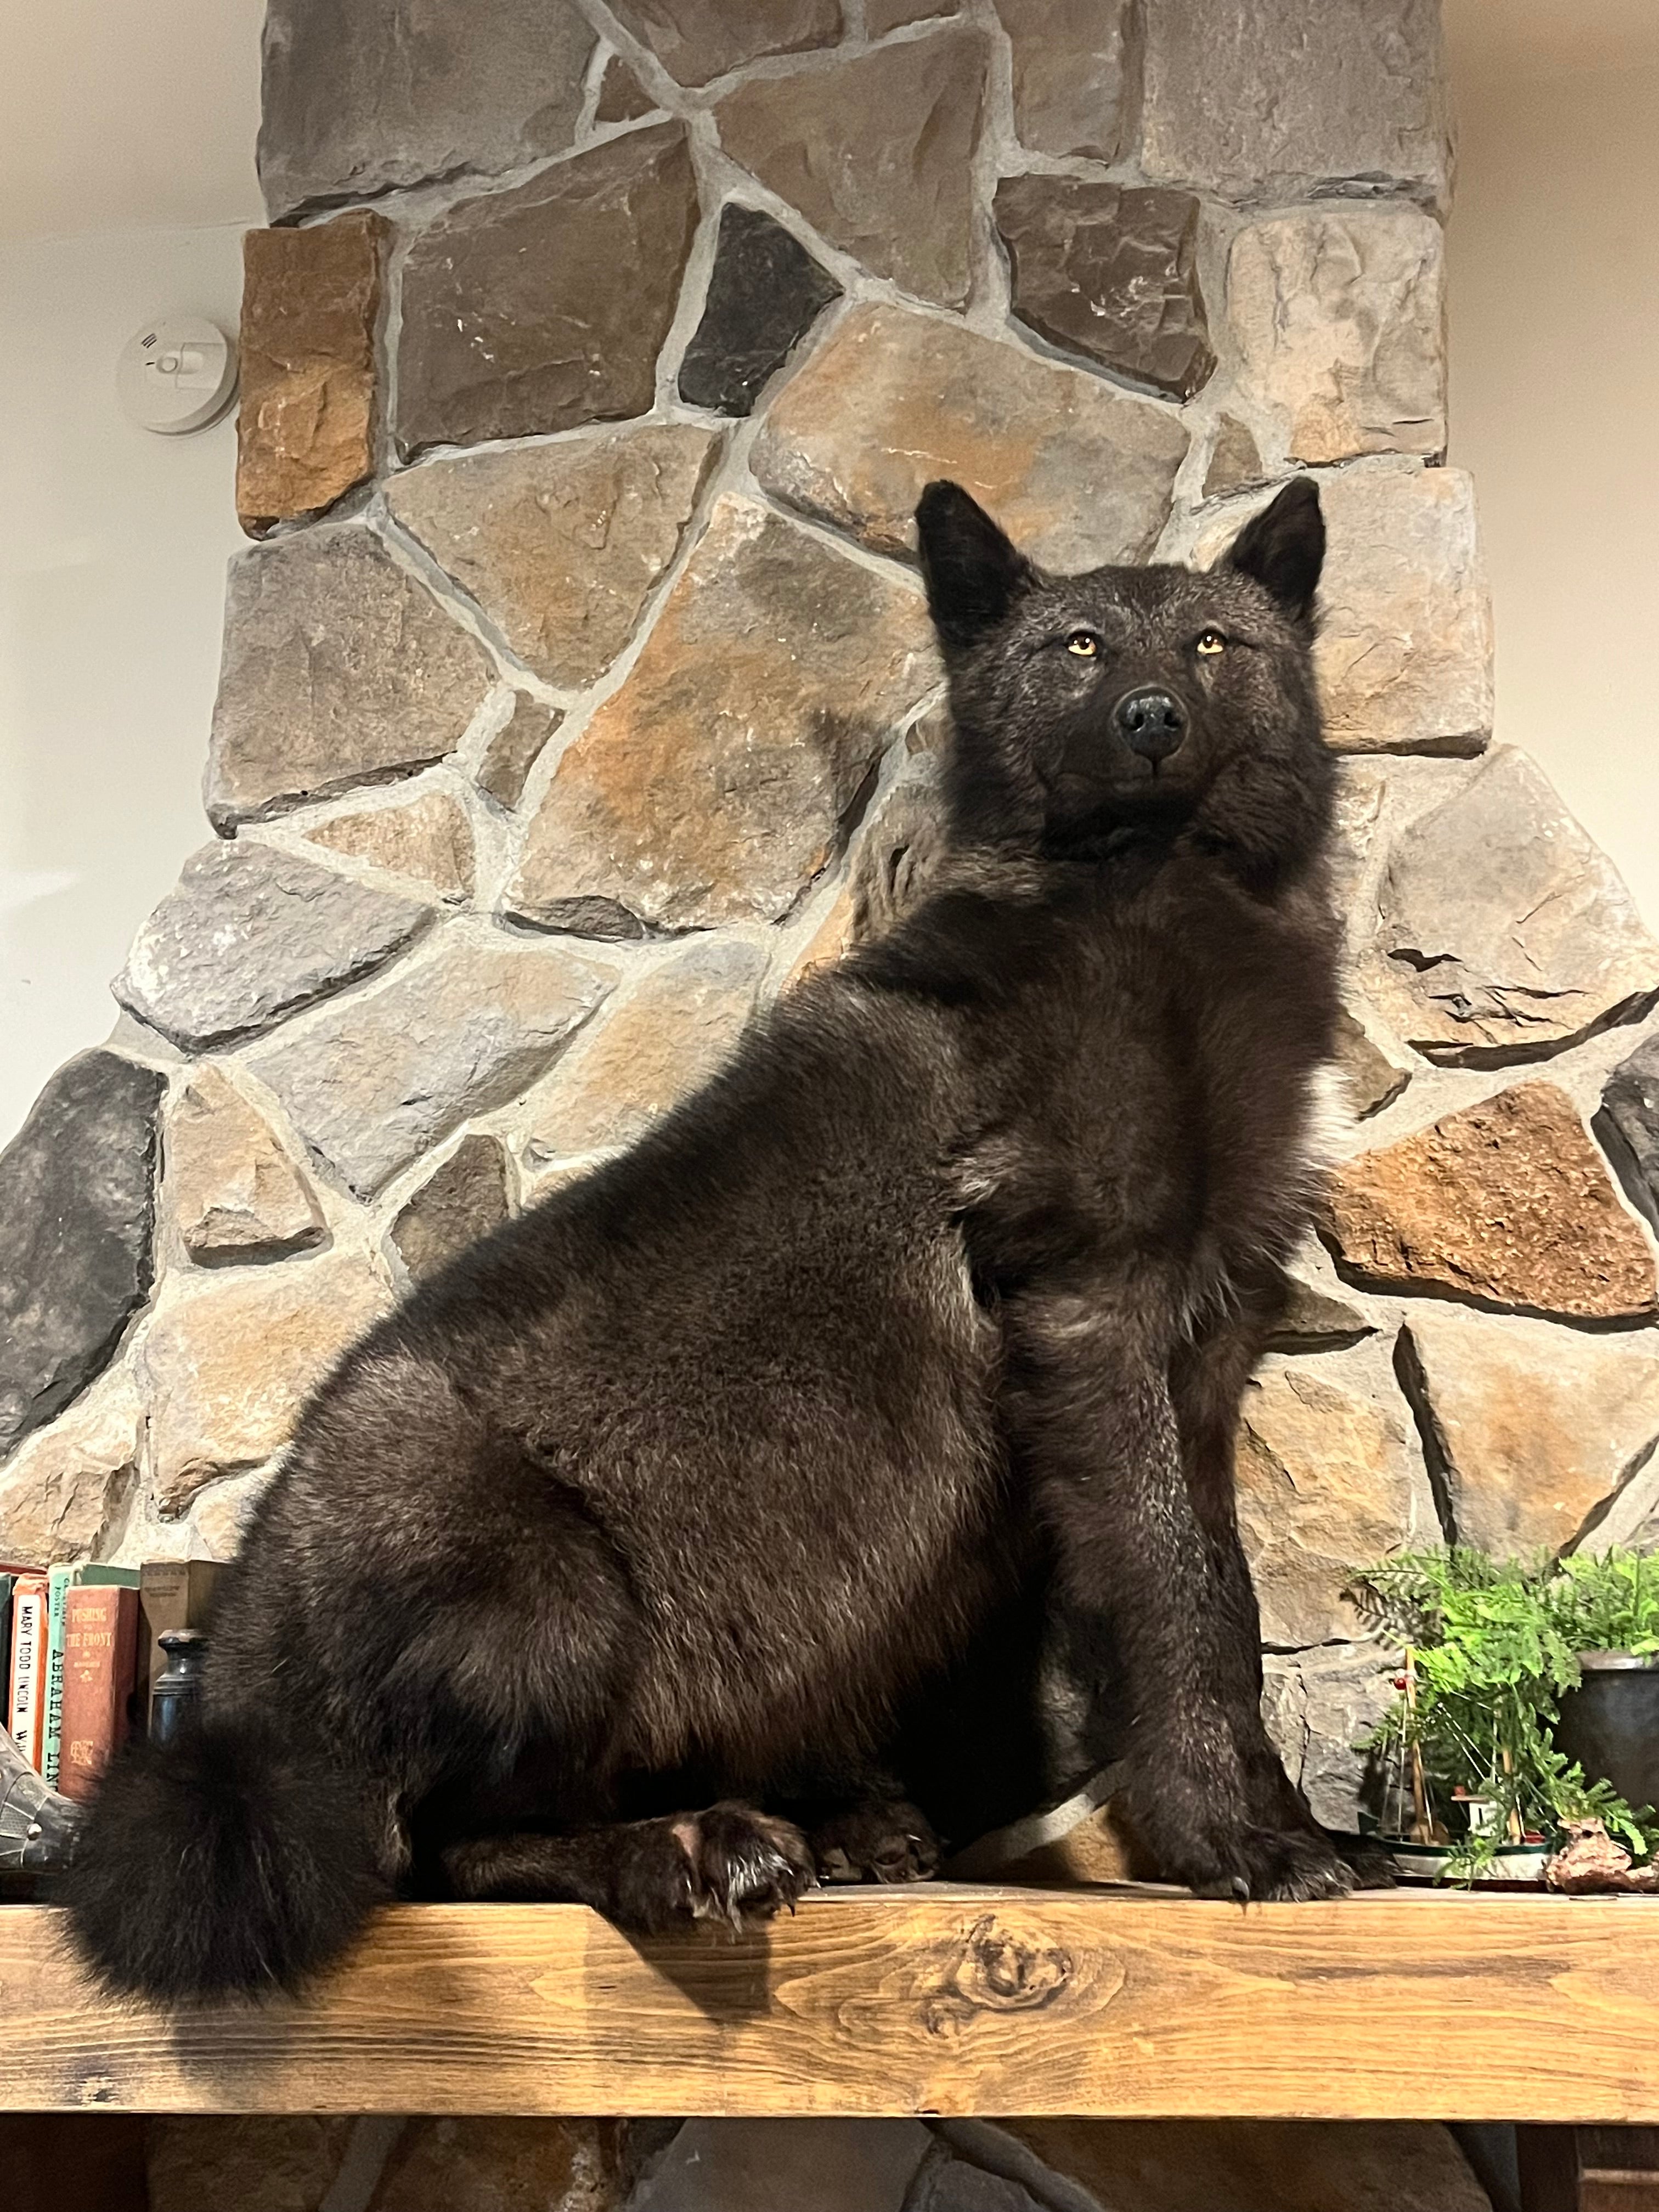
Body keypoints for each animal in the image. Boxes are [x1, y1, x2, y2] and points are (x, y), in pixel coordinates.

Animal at [67, 474, 1364, 2003]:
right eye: (1082, 649)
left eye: (1216, 644)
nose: (1153, 717)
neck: (1162, 916)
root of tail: (239, 1694)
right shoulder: (1098, 1315)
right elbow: (1174, 1600)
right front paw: (1231, 1841)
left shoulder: (1209, 1348)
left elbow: (1229, 1599)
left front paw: (1290, 1819)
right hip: (550, 1597)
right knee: (437, 1854)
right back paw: (690, 1849)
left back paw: (847, 1821)